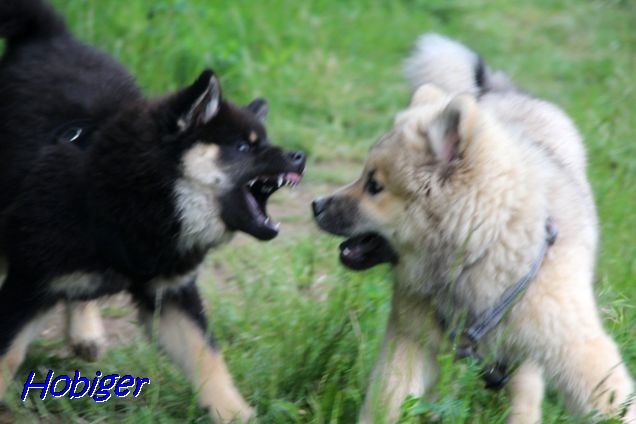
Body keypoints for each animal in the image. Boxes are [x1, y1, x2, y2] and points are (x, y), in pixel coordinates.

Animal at [0, 0, 304, 420]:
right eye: (244, 147)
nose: (300, 157)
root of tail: (47, 33)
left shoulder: (168, 292)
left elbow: (208, 358)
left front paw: (235, 413)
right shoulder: (30, 280)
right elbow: (6, 355)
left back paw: (85, 331)